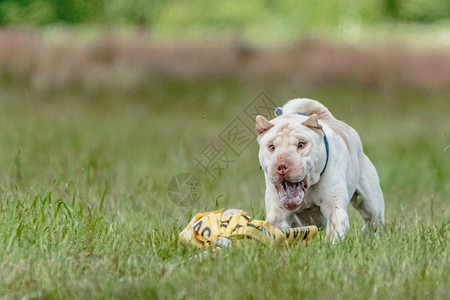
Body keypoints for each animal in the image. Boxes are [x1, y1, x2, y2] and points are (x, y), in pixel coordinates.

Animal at [255, 99, 384, 240]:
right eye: (272, 147)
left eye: (301, 144)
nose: (282, 165)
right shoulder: (278, 213)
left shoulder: (334, 207)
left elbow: (333, 231)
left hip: (371, 204)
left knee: (372, 220)